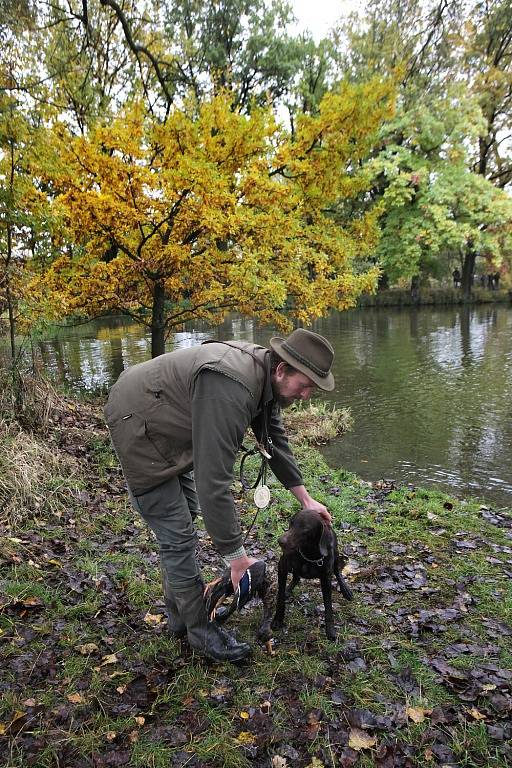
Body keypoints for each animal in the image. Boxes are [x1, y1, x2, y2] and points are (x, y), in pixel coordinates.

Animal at [272, 508, 352, 640]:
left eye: (305, 529)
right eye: (291, 523)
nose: (280, 541)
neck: (309, 555)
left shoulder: (326, 579)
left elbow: (328, 606)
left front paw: (330, 631)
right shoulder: (282, 568)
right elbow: (280, 598)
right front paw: (278, 619)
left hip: (336, 554)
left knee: (337, 572)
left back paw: (346, 590)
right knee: (296, 578)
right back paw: (288, 590)